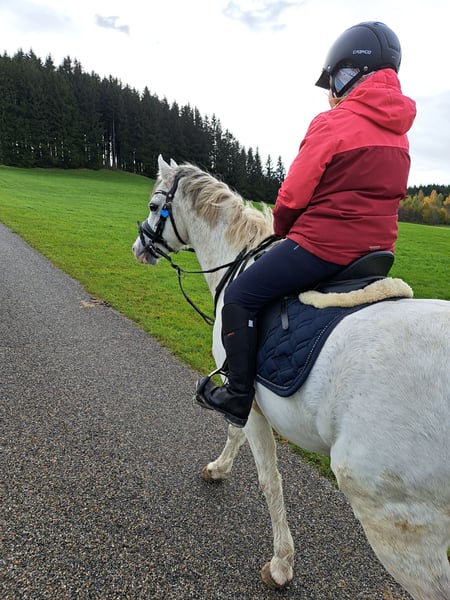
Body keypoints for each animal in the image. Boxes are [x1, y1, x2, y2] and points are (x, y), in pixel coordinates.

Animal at [132, 155, 450, 600]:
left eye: (152, 206)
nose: (138, 248)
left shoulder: (246, 399)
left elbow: (268, 477)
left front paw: (282, 563)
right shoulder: (247, 399)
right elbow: (234, 435)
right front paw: (218, 469)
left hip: (399, 526)